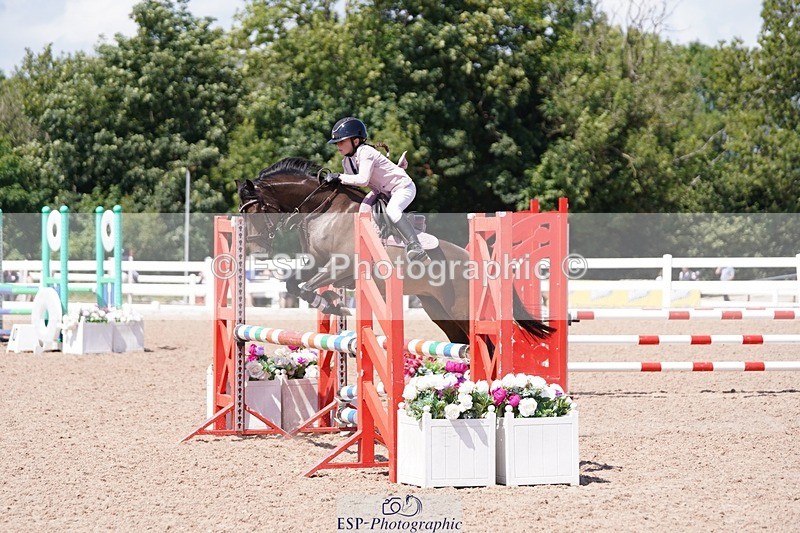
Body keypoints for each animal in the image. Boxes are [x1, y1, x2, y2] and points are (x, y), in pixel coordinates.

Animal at [237, 157, 553, 345]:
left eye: (256, 210)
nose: (255, 248)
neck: (324, 210)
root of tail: (480, 263)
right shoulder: (317, 263)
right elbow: (293, 284)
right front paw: (331, 304)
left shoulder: (341, 267)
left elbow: (306, 286)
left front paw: (333, 304)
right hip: (438, 310)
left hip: (461, 310)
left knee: (484, 344)